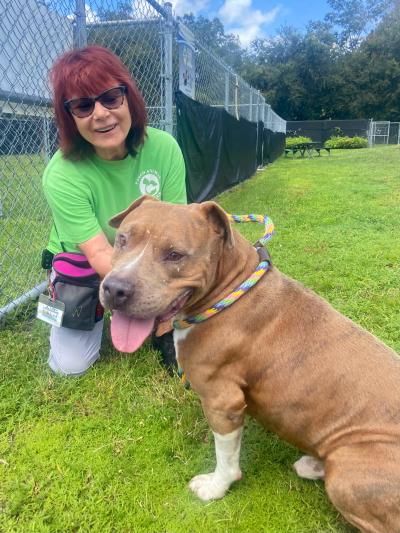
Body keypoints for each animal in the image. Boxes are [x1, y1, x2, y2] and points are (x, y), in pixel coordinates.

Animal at [100, 196, 400, 532]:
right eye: (123, 239)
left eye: (175, 254)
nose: (116, 289)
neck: (230, 291)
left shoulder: (222, 401)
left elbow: (226, 458)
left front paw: (215, 487)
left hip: (350, 475)